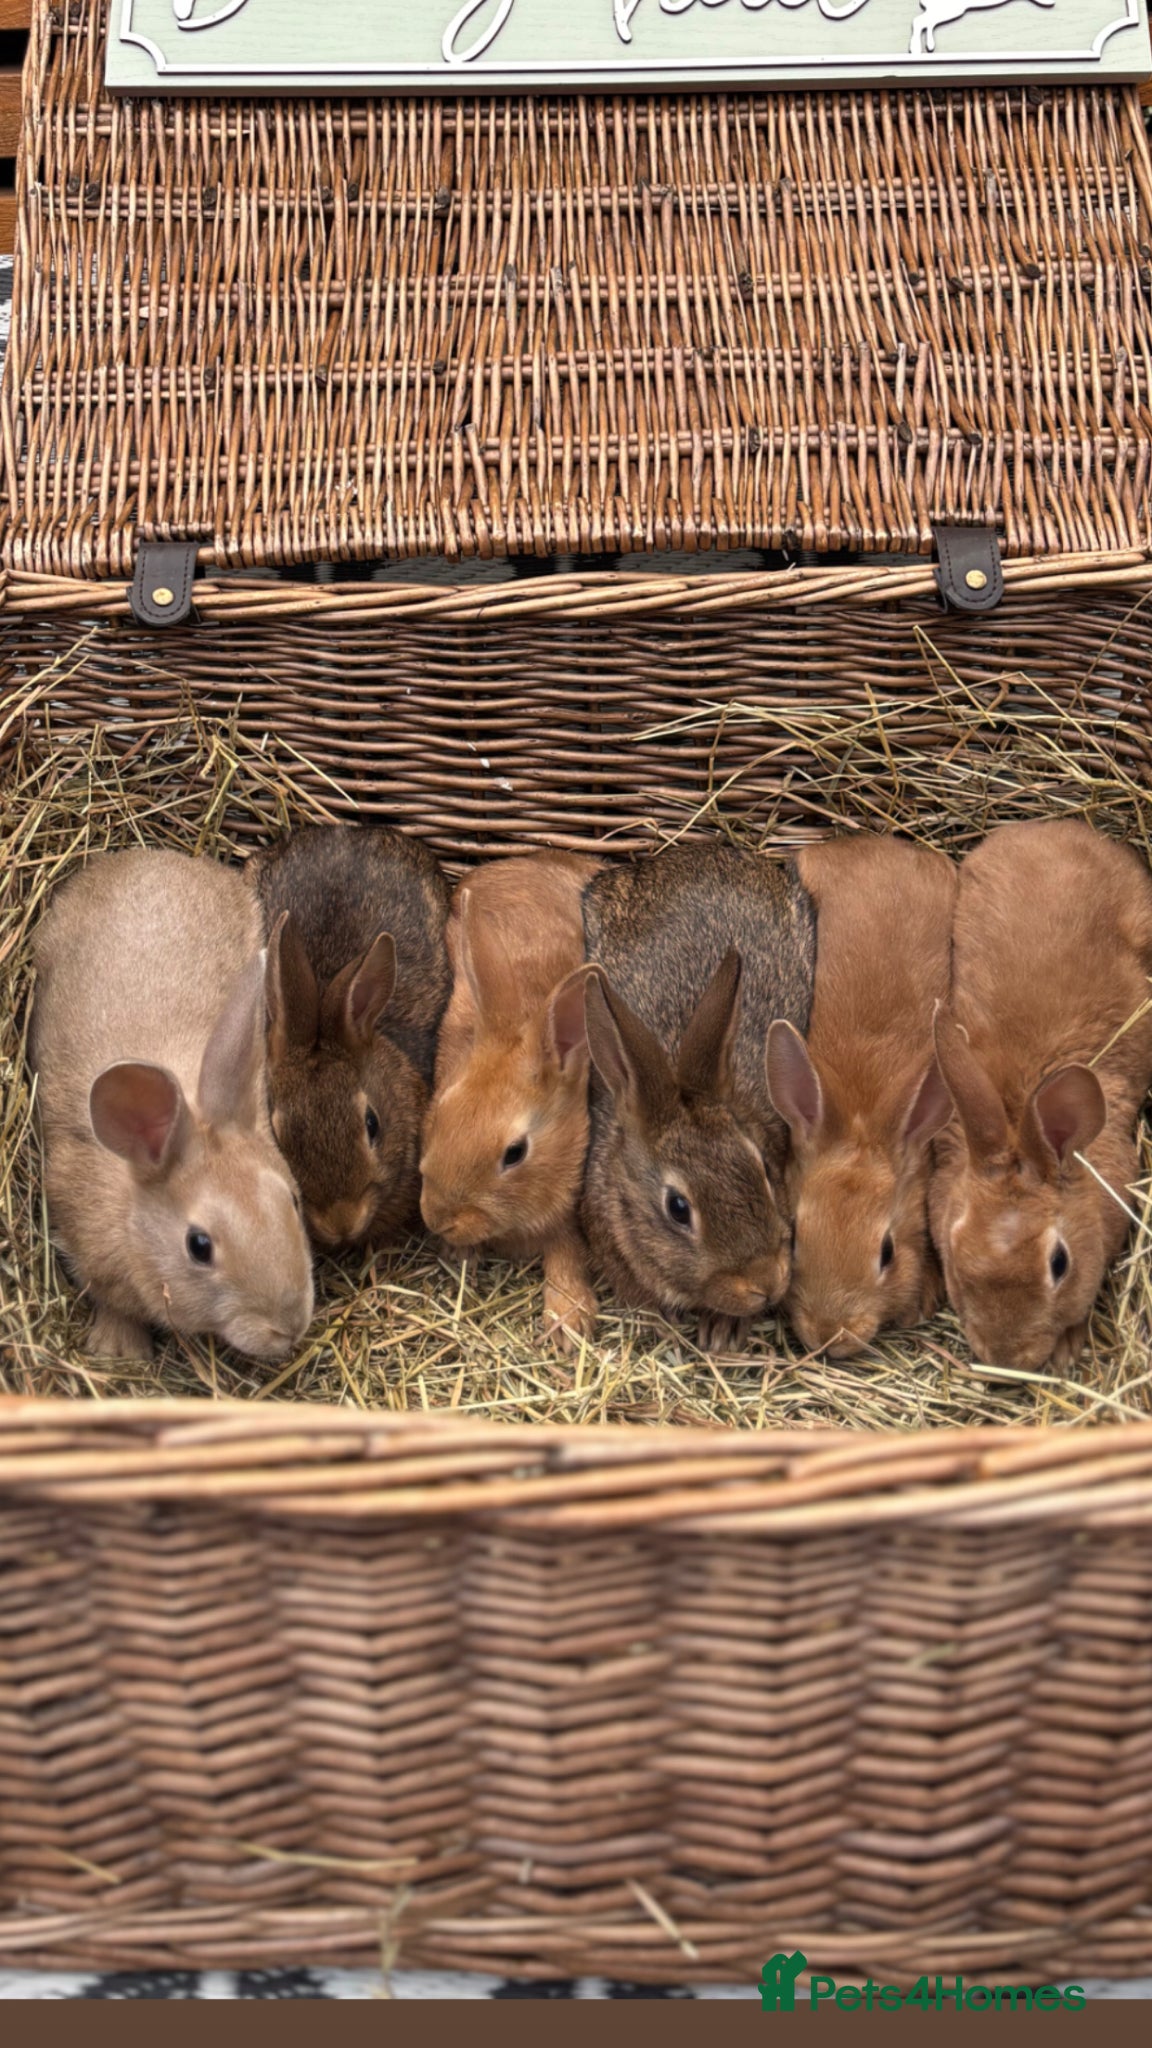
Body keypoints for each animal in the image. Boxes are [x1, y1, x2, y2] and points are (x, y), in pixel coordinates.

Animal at [419, 852, 604, 1349]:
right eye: (440, 1111)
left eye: (515, 1153)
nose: (437, 1219)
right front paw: (459, 1253)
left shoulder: (567, 1213)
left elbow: (566, 1253)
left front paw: (568, 1321)